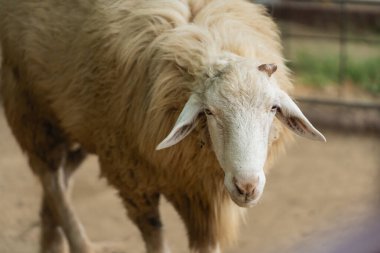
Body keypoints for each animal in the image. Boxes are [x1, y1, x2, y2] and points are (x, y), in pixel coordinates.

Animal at [0, 0, 326, 253]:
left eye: (272, 108)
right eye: (209, 112)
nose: (246, 186)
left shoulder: (203, 197)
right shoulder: (131, 177)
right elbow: (155, 235)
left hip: (76, 120)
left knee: (62, 175)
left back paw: (51, 239)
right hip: (28, 107)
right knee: (52, 178)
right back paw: (78, 243)